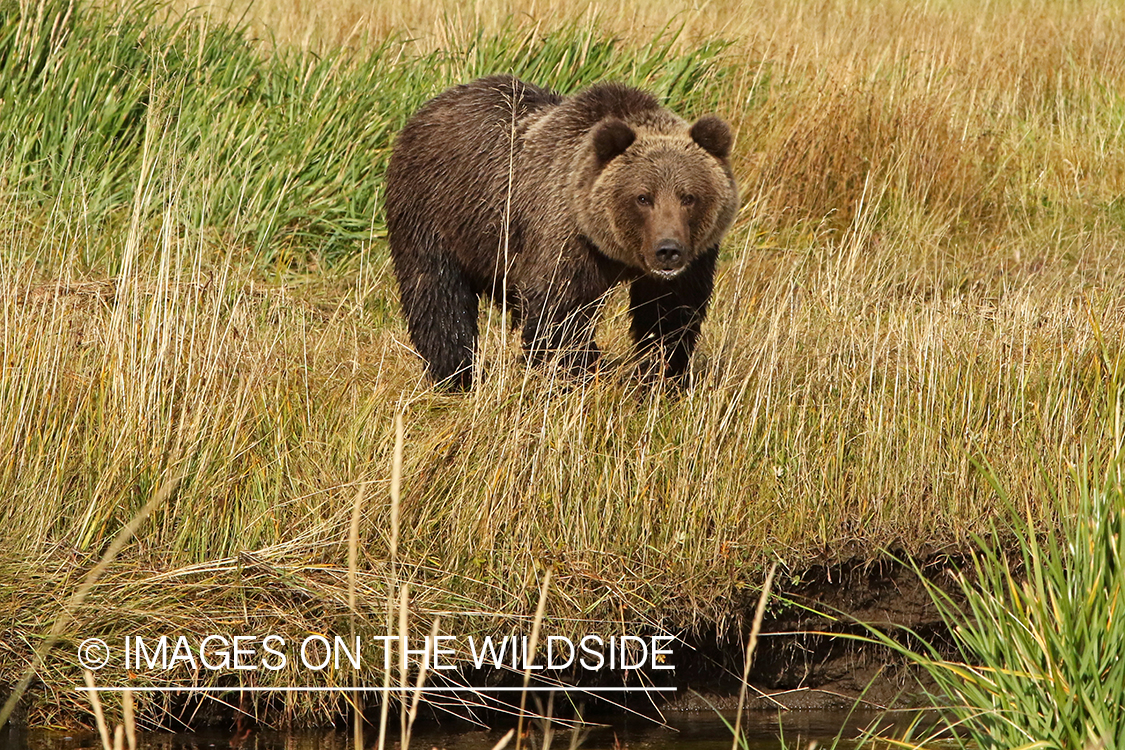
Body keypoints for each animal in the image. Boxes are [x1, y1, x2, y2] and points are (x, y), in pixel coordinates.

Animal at [385, 75, 739, 390]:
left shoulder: (692, 260)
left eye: (689, 197)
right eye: (643, 197)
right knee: (438, 295)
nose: (668, 250)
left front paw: (662, 377)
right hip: (433, 211)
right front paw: (574, 375)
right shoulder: (563, 235)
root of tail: (429, 107)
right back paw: (457, 377)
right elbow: (559, 314)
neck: (615, 252)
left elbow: (669, 317)